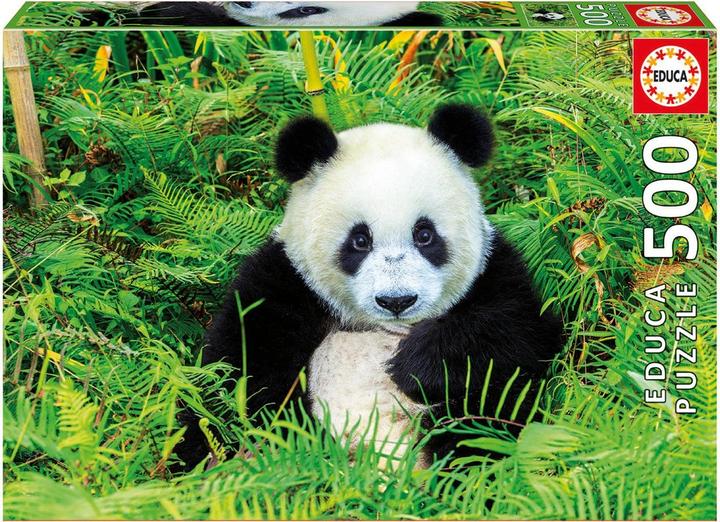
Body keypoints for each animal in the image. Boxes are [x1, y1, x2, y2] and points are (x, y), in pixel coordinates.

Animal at [177, 104, 563, 470]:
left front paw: (414, 364)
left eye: (425, 235)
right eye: (360, 240)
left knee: (481, 424)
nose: (397, 301)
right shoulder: (283, 281)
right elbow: (234, 373)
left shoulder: (494, 270)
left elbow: (520, 334)